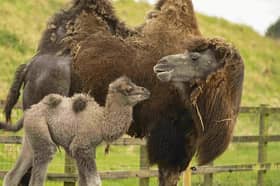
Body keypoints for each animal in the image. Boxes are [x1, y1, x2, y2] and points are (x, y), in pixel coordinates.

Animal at [1, 76, 151, 186]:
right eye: (128, 89)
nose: (146, 91)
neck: (101, 123)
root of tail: (29, 111)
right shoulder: (81, 146)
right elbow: (95, 182)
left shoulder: (83, 151)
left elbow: (82, 181)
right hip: (40, 132)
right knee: (40, 169)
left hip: (31, 136)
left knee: (12, 175)